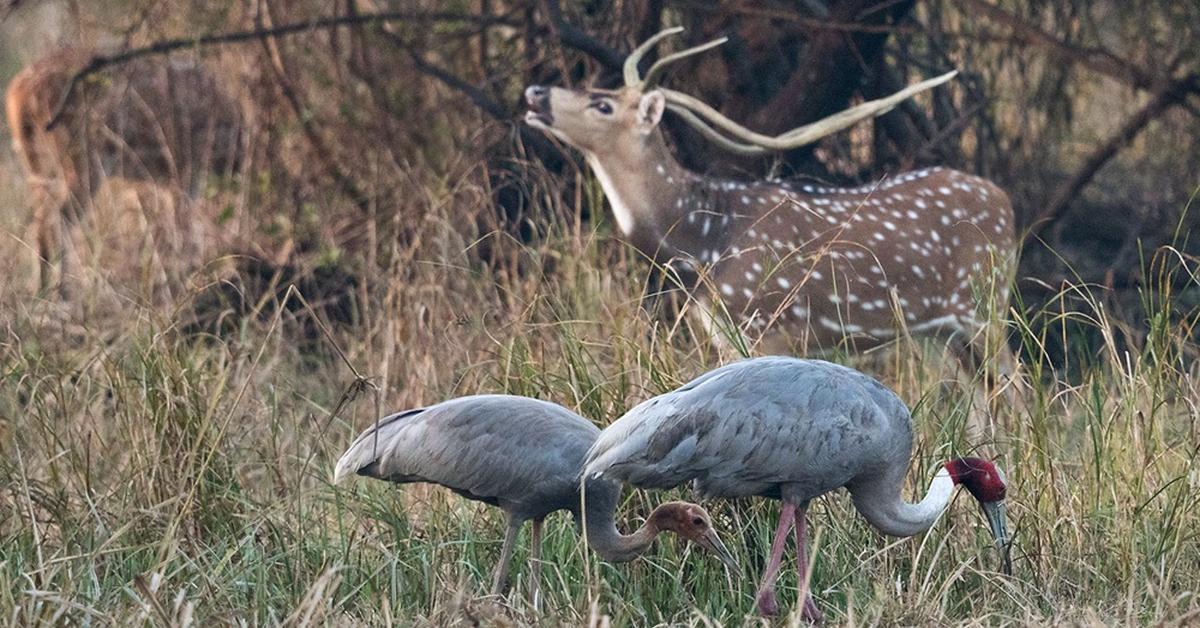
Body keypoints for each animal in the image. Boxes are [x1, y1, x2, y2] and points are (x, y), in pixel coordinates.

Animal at [4, 47, 243, 292]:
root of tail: (18, 94)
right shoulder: (186, 168)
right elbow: (184, 233)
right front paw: (181, 284)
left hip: (37, 163)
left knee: (40, 223)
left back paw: (43, 290)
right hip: (84, 158)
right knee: (60, 218)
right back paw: (65, 291)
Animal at [525, 29, 1012, 384]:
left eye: (602, 104)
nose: (534, 92)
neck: (701, 248)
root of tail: (1003, 199)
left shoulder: (770, 327)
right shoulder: (723, 335)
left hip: (984, 303)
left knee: (1017, 386)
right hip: (937, 333)